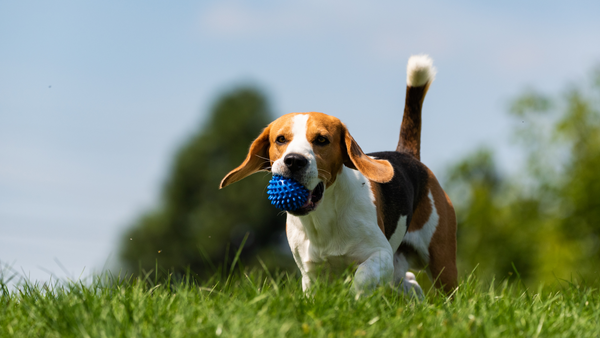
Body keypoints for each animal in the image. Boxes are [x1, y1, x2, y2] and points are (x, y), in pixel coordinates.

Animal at [223, 55, 458, 296]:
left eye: (321, 139)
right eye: (280, 139)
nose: (294, 160)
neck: (323, 217)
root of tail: (407, 155)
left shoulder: (380, 254)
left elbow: (362, 277)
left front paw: (354, 298)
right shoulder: (310, 272)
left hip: (441, 260)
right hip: (401, 268)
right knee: (410, 281)